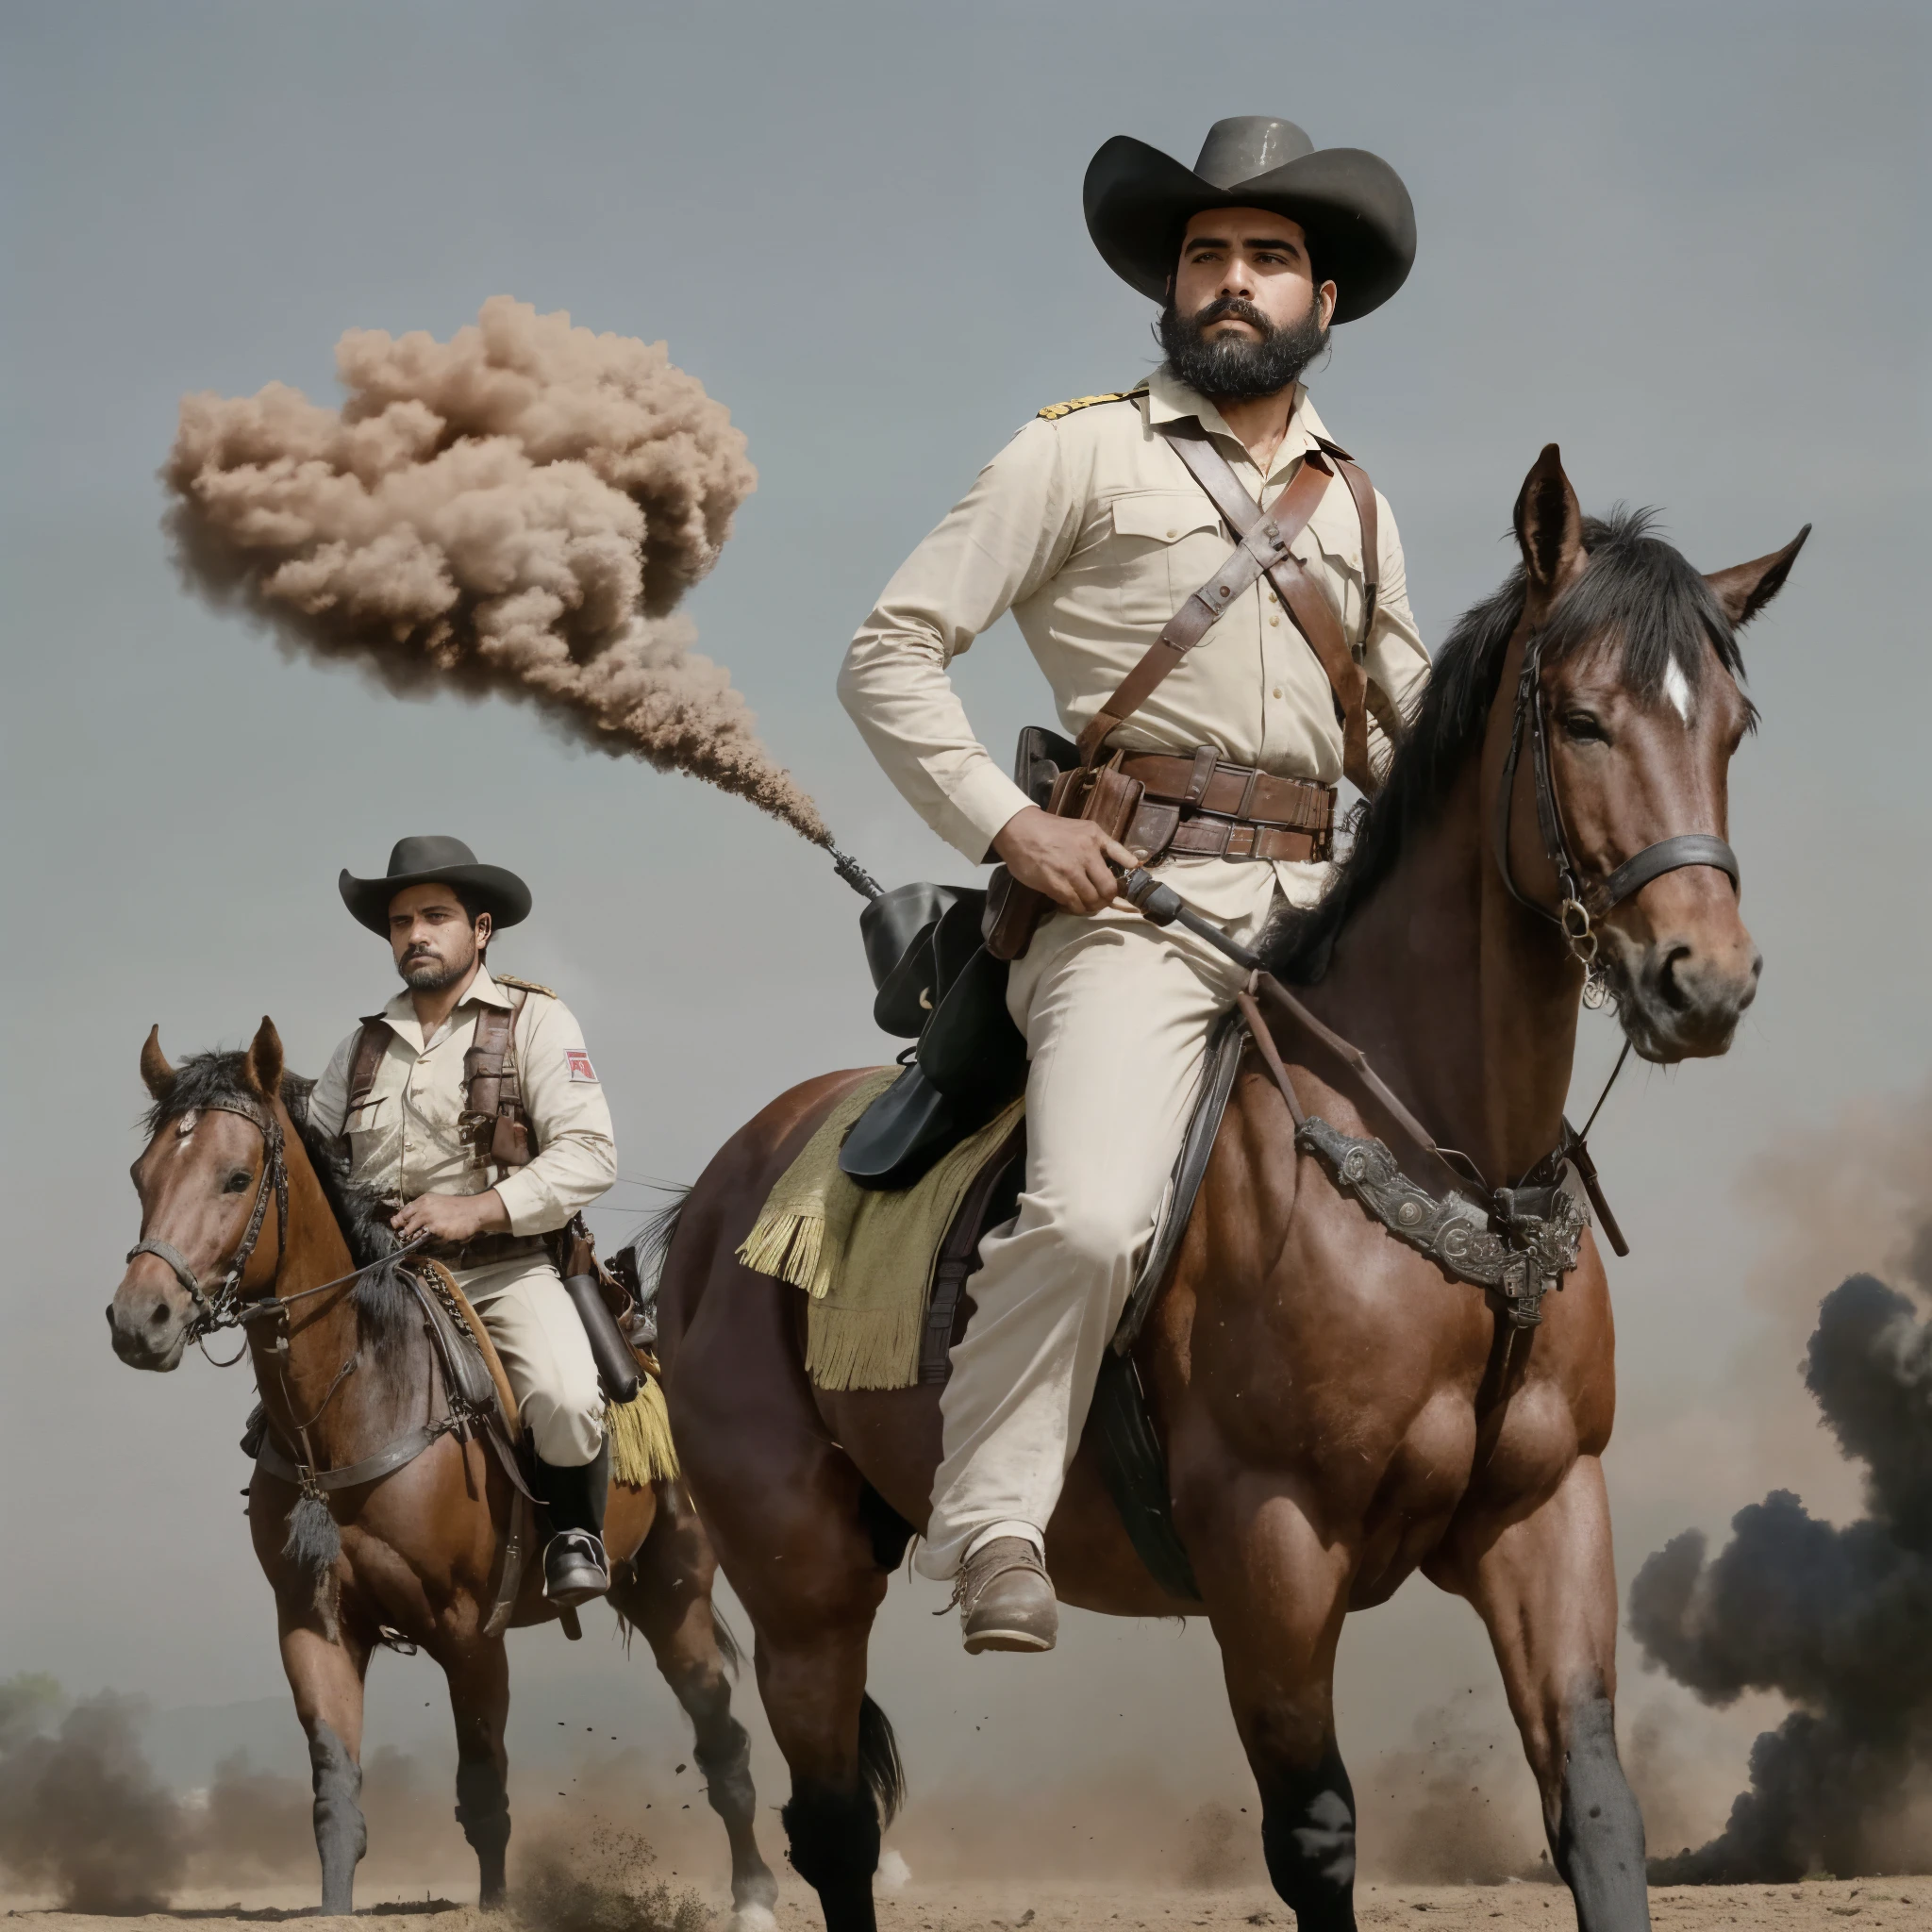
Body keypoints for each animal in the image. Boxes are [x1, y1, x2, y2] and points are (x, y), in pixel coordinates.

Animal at [108, 1020, 776, 1924]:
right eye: (143, 1175)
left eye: (236, 1176)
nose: (138, 1320)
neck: (357, 1409)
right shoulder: (313, 1625)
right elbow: (337, 1792)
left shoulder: (469, 1632)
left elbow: (484, 1789)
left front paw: (495, 1905)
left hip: (679, 1594)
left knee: (723, 1741)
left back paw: (755, 1894)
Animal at [657, 444, 1800, 1924]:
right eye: (1583, 719)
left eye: (1730, 729)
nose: (1702, 980)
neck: (1446, 1159)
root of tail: (707, 1211)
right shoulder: (1271, 1550)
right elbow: (1314, 1831)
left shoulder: (1545, 1514)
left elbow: (1596, 1810)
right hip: (799, 1589)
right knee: (834, 1828)